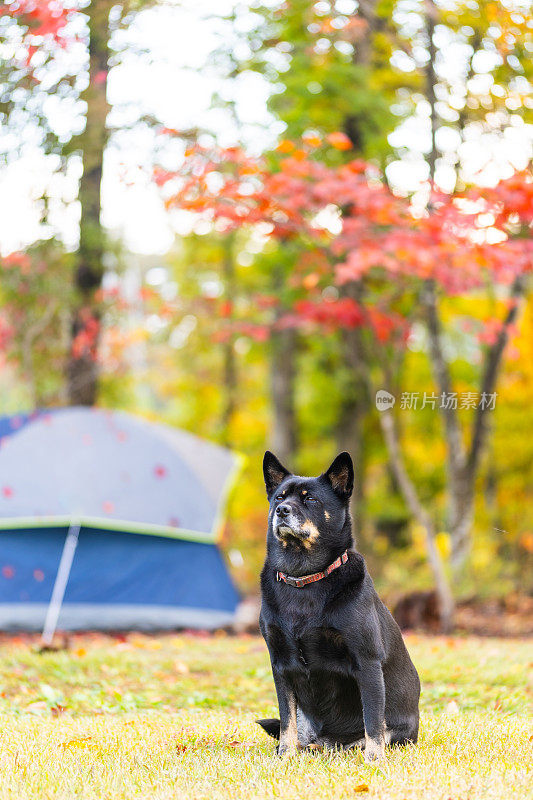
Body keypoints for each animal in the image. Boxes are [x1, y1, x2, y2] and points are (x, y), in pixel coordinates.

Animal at [258, 450, 420, 764]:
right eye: (279, 497)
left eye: (310, 499)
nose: (282, 510)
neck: (304, 578)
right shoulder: (280, 663)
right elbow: (287, 720)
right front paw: (285, 754)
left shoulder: (367, 662)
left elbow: (373, 720)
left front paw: (374, 759)